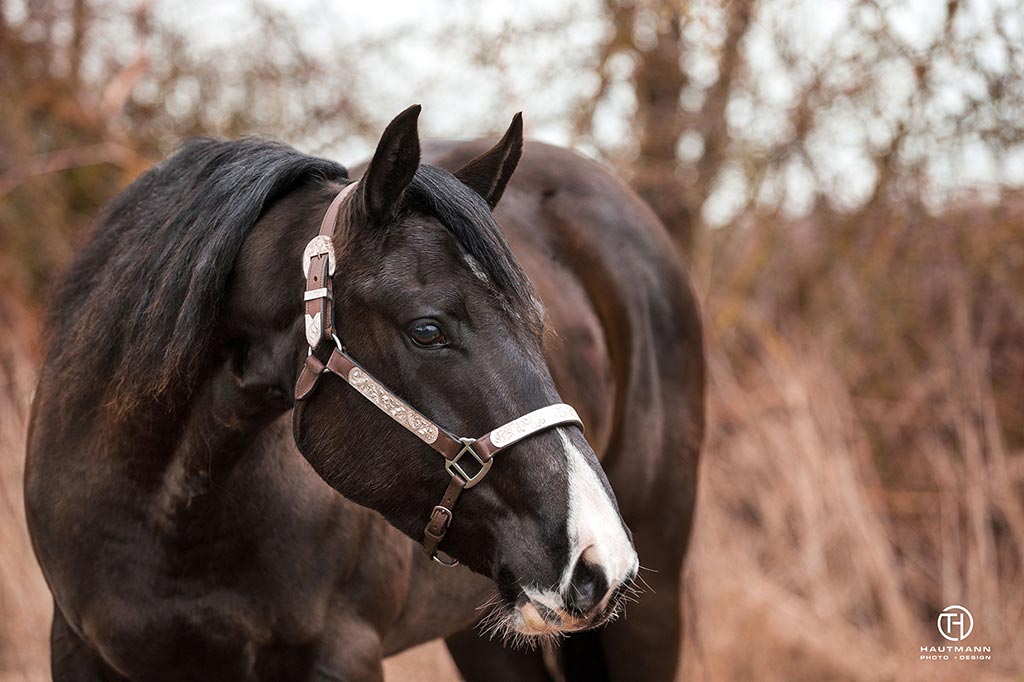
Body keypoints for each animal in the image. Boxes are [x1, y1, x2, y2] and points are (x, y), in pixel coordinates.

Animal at [28, 106, 708, 679]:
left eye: (538, 327)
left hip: (654, 609)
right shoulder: (76, 647)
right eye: (427, 329)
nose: (600, 557)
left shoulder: (342, 651)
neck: (165, 511)